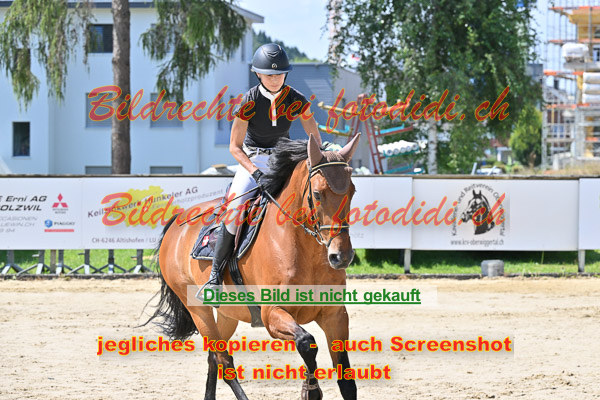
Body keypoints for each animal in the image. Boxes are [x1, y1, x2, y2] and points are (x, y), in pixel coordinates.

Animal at [144, 133, 361, 400]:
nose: (341, 256)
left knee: (214, 358)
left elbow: (347, 383)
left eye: (352, 191)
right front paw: (310, 390)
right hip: (198, 310)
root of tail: (177, 221)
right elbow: (307, 343)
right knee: (224, 361)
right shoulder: (272, 313)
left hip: (228, 314)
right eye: (318, 194)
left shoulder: (335, 316)